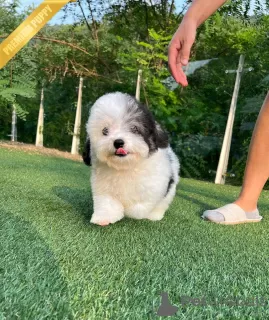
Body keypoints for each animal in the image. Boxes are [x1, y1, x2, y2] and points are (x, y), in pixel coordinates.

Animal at [81, 91, 178, 226]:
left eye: (134, 128)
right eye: (105, 131)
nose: (118, 142)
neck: (125, 166)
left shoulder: (153, 188)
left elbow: (139, 208)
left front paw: (128, 211)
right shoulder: (104, 188)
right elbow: (108, 203)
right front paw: (103, 217)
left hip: (169, 191)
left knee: (161, 205)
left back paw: (154, 216)